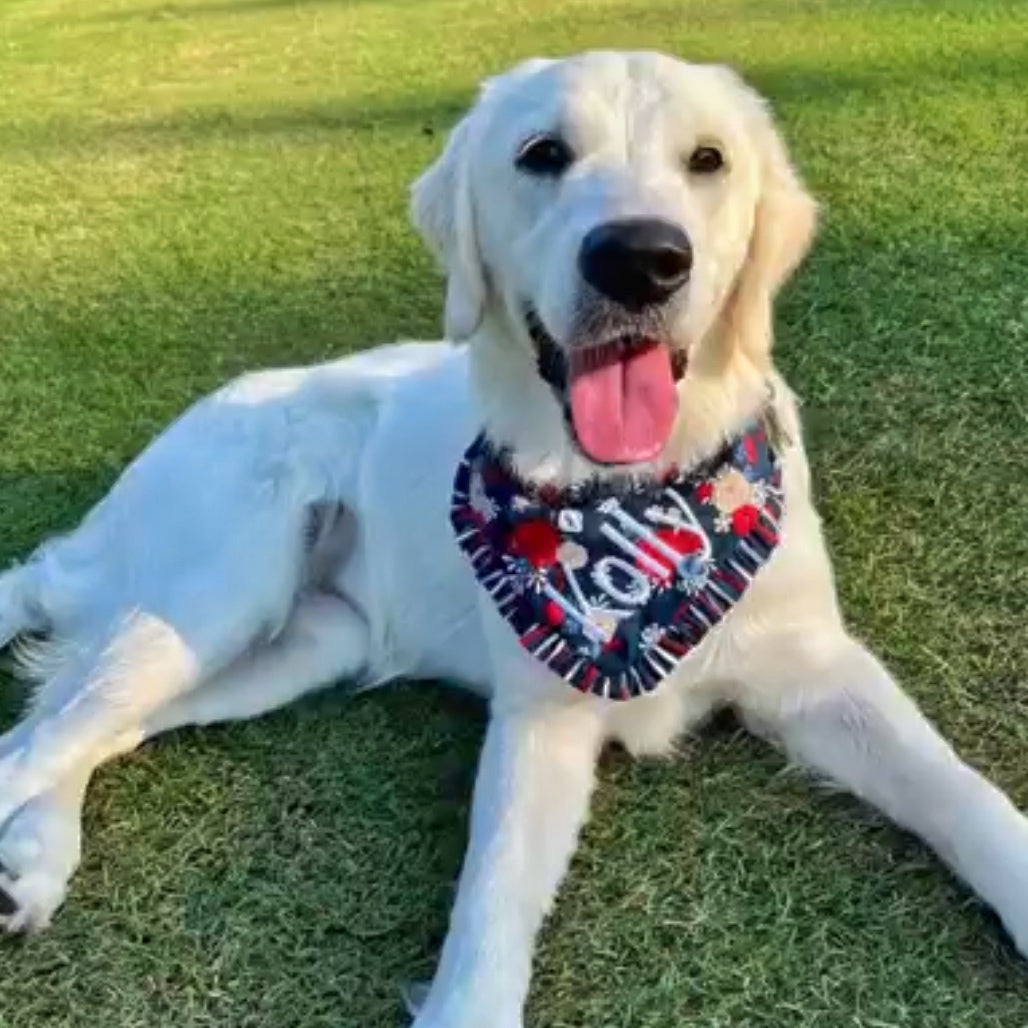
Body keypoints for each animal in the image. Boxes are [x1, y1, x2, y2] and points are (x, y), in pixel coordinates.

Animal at [2, 50, 1028, 1028]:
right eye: (543, 154)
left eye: (708, 160)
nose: (640, 260)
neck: (635, 514)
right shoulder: (542, 716)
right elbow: (492, 905)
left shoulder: (817, 671)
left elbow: (959, 788)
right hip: (221, 593)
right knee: (43, 733)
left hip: (295, 646)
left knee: (68, 723)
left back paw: (37, 856)